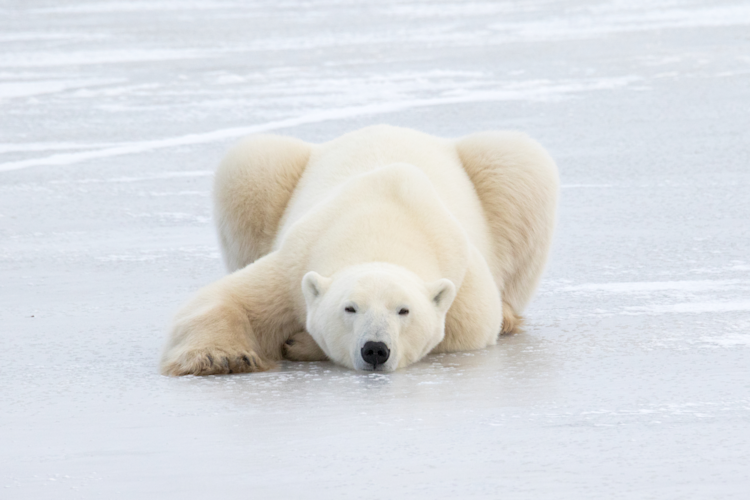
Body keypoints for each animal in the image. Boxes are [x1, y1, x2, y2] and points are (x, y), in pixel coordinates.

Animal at [160, 125, 558, 375]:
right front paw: (223, 358)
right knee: (251, 162)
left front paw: (299, 343)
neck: (382, 221)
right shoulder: (294, 262)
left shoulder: (465, 295)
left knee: (519, 165)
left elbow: (455, 336)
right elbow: (222, 300)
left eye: (404, 310)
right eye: (349, 308)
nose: (375, 349)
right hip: (268, 175)